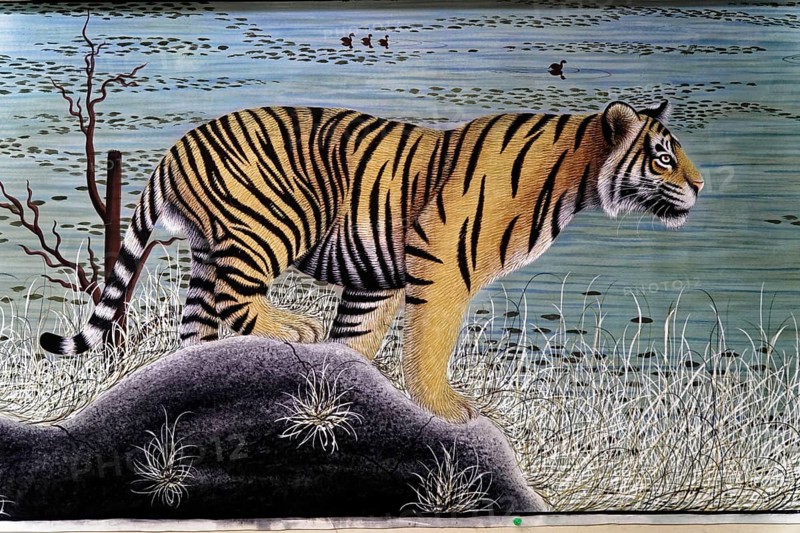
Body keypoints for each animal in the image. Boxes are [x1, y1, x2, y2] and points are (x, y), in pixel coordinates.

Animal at [41, 100, 704, 423]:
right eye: (663, 157)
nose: (700, 186)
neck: (574, 179)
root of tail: (175, 150)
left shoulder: (377, 278)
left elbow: (359, 339)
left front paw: (349, 385)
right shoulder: (442, 268)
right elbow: (430, 342)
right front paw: (447, 410)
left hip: (211, 248)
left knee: (198, 322)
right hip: (273, 222)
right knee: (236, 297)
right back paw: (295, 328)